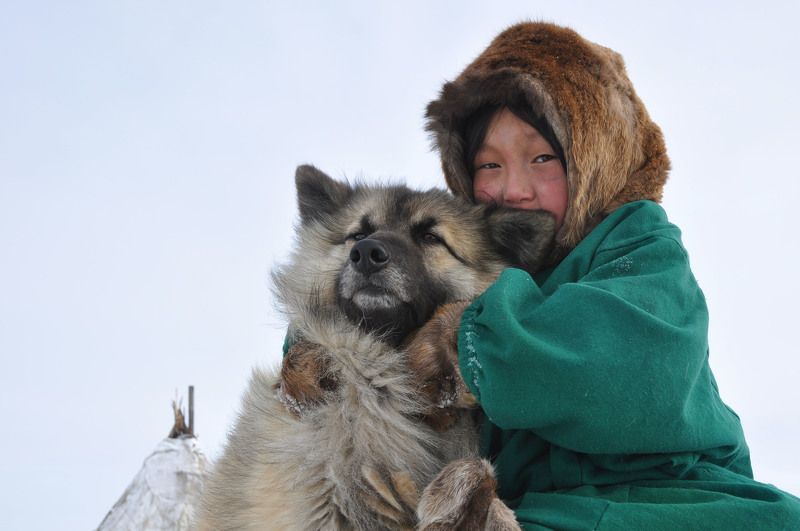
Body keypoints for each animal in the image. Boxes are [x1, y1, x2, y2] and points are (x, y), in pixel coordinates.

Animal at [197, 166, 552, 531]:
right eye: (358, 234)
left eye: (430, 237)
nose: (367, 254)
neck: (380, 382)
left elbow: (482, 476)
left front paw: (458, 497)